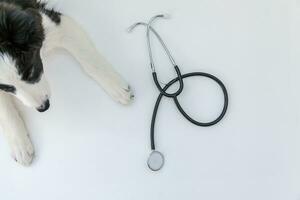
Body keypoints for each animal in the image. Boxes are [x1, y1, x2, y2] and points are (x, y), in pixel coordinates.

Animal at [0, 0, 132, 166]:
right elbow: (4, 110)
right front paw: (20, 145)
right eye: (7, 88)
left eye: (30, 72)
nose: (44, 107)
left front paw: (116, 86)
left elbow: (88, 57)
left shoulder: (54, 24)